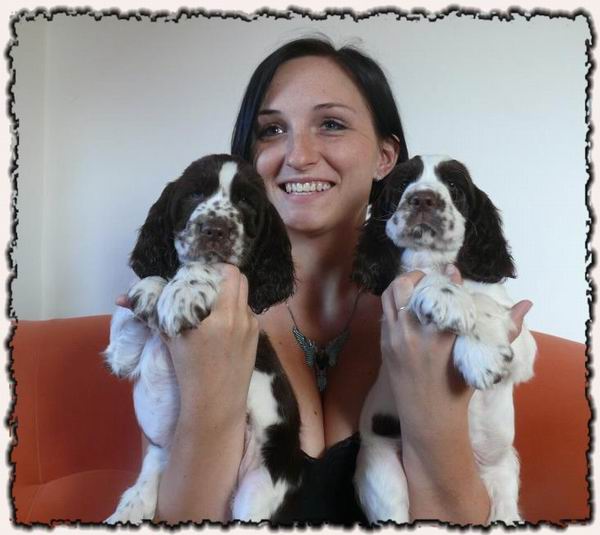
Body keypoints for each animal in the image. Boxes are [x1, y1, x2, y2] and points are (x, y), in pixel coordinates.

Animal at [104, 154, 303, 523]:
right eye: (194, 194)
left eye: (245, 202)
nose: (215, 229)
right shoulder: (119, 358)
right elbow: (124, 321)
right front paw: (150, 290)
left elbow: (211, 267)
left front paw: (182, 291)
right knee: (150, 474)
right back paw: (129, 508)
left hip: (261, 478)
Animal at [351, 154, 537, 524]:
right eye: (402, 184)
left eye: (454, 186)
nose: (423, 199)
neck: (436, 260)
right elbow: (417, 276)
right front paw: (445, 294)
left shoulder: (524, 346)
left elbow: (483, 300)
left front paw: (482, 354)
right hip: (379, 465)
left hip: (504, 472)